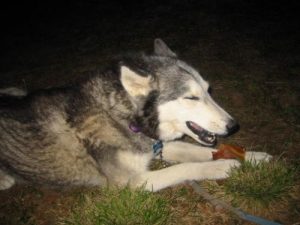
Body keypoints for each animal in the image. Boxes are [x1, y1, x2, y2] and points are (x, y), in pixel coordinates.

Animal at [0, 39, 272, 192]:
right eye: (191, 98)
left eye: (208, 90)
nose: (233, 125)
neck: (122, 118)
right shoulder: (131, 183)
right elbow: (184, 167)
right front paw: (223, 166)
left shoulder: (156, 145)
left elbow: (199, 152)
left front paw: (254, 157)